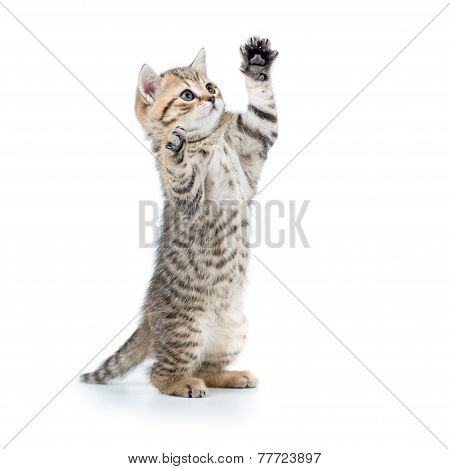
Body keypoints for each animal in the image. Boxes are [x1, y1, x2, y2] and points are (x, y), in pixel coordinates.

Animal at [81, 36, 278, 396]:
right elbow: (181, 178)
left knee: (208, 368)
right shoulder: (189, 200)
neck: (210, 139)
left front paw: (257, 63)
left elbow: (264, 109)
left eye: (210, 86)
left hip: (234, 330)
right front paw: (175, 150)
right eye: (188, 95)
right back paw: (182, 384)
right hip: (186, 330)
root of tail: (147, 318)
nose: (212, 97)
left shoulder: (255, 138)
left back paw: (232, 377)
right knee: (159, 372)